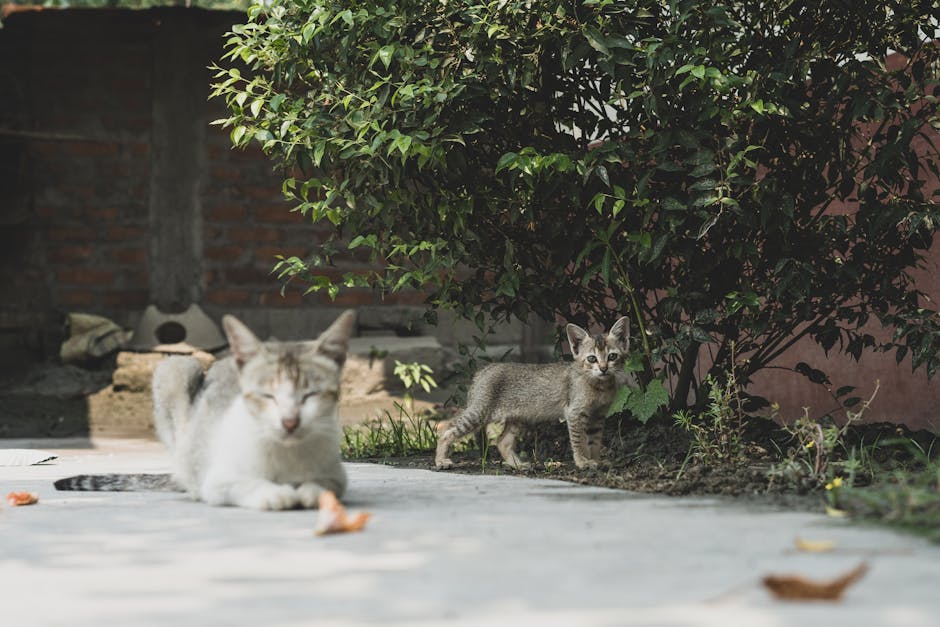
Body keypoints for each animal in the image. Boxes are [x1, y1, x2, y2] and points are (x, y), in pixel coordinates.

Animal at [55, 312, 356, 512]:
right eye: (267, 395)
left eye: (310, 395)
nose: (290, 422)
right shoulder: (220, 480)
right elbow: (250, 485)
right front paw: (278, 495)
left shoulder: (336, 476)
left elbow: (322, 487)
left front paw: (307, 492)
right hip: (175, 367)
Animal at [436, 318, 632, 472]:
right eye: (592, 359)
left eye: (612, 356)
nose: (603, 368)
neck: (599, 386)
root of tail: (483, 371)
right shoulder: (575, 413)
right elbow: (580, 442)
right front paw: (583, 462)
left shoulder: (597, 417)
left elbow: (595, 442)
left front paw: (596, 460)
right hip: (479, 413)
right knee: (445, 428)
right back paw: (441, 460)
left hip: (518, 418)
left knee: (502, 442)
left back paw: (518, 465)